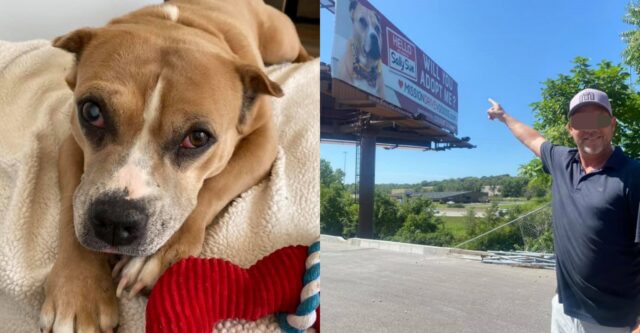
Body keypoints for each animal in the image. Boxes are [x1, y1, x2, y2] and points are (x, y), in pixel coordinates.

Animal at [37, 1, 312, 330]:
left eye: (198, 138)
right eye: (92, 112)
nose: (116, 219)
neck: (175, 28)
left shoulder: (263, 141)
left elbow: (212, 188)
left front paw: (157, 256)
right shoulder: (72, 145)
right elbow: (72, 207)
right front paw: (79, 291)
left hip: (280, 40)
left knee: (297, 50)